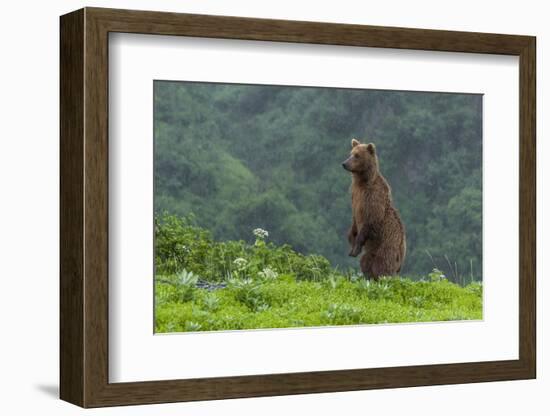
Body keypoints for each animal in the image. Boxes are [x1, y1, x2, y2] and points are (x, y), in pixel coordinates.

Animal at [342, 140, 408, 280]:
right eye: (350, 153)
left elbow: (371, 219)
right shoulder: (355, 194)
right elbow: (354, 220)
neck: (362, 180)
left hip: (387, 248)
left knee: (382, 266)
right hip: (372, 251)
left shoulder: (373, 197)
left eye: (357, 155)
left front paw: (356, 246)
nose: (344, 163)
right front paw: (351, 240)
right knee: (366, 261)